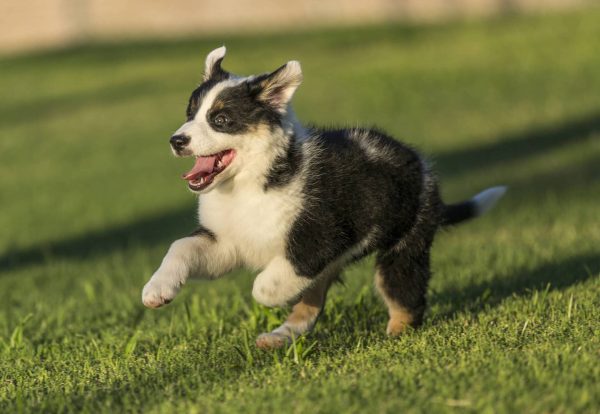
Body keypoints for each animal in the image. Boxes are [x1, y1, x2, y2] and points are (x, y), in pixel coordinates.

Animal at [142, 46, 506, 350]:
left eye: (220, 120)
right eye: (189, 114)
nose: (177, 140)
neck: (249, 185)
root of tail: (422, 168)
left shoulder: (317, 238)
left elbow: (265, 285)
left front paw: (271, 295)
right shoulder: (227, 242)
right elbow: (180, 247)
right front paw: (156, 290)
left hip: (404, 245)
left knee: (406, 294)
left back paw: (396, 334)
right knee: (313, 302)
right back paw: (280, 337)